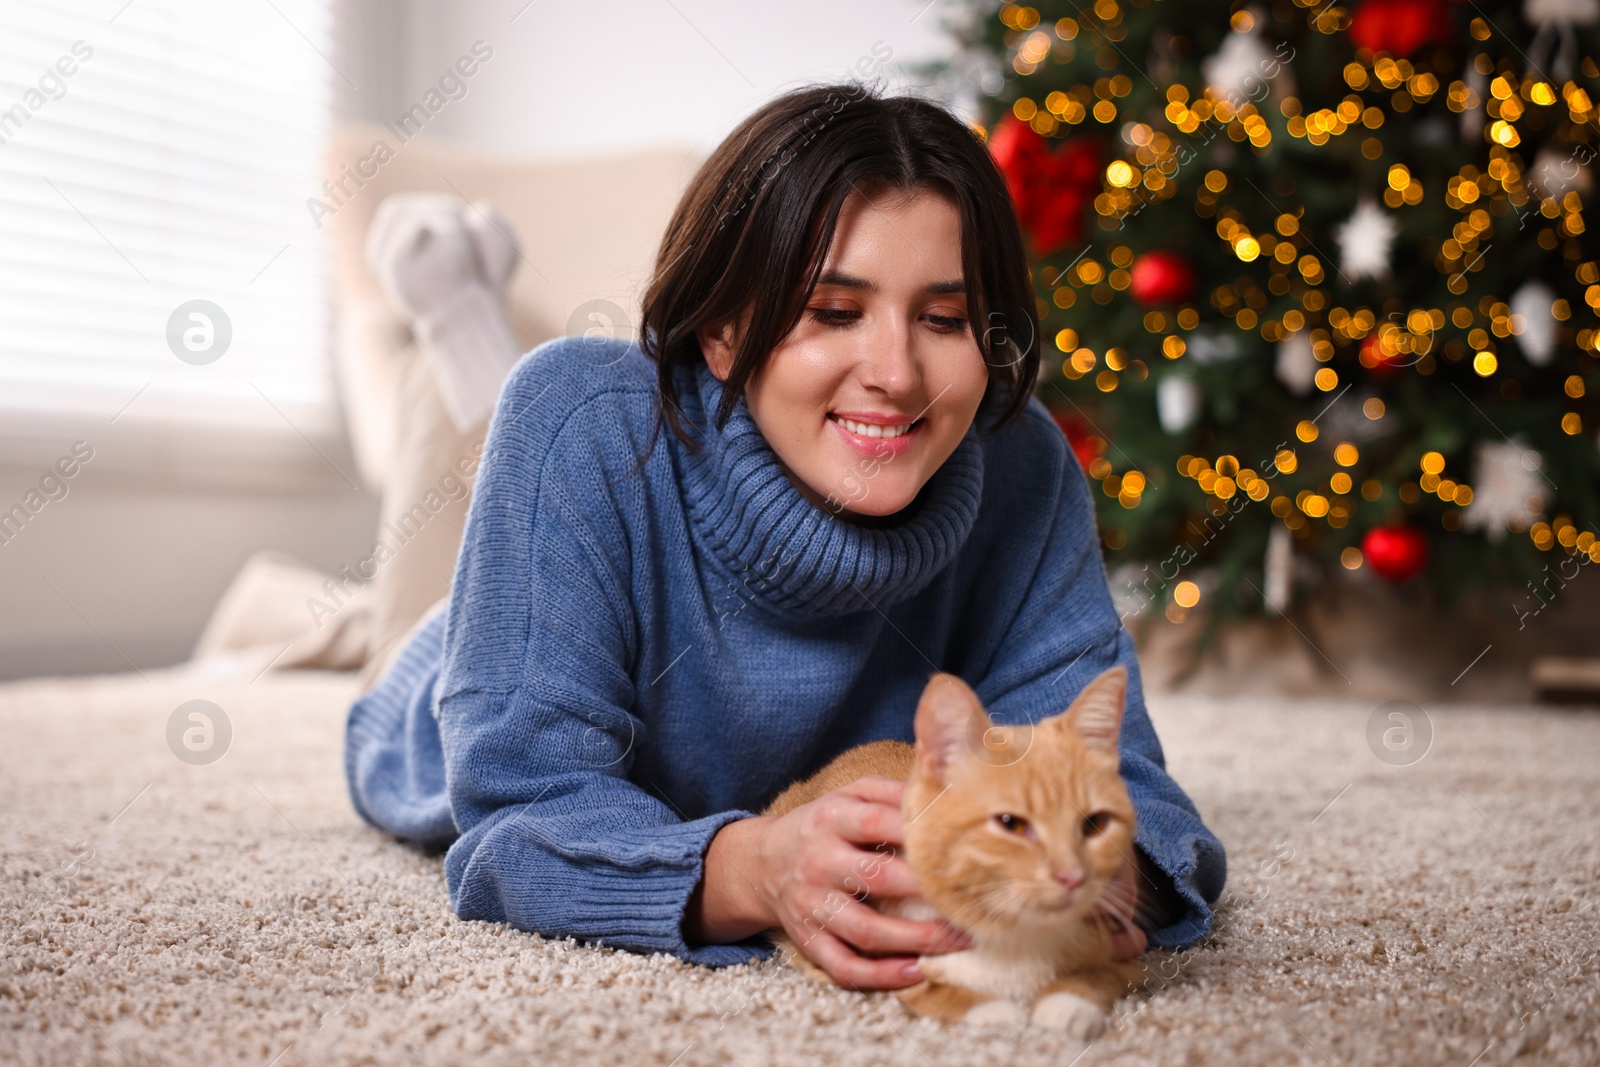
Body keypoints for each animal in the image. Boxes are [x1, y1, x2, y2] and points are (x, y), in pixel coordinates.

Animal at [764, 668, 1152, 1036]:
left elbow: (1092, 978)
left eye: (1094, 824)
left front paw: (1064, 1005)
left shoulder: (1128, 959)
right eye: (1011, 824)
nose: (1072, 876)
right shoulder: (885, 968)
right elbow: (935, 990)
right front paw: (995, 1011)